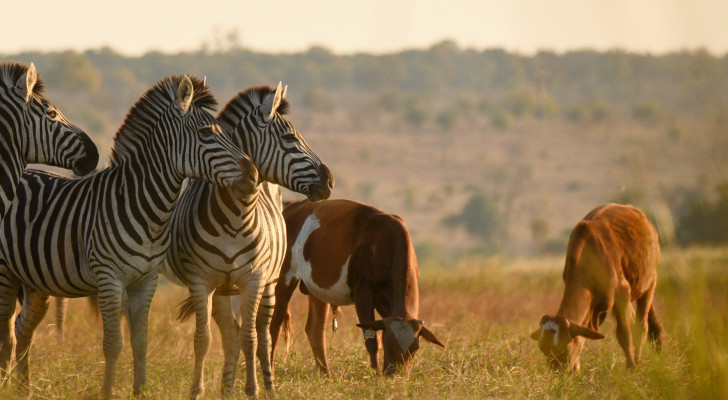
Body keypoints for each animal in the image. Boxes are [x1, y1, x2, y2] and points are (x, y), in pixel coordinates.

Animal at [161, 83, 334, 398]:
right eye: (290, 138)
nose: (330, 181)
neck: (235, 215)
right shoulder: (202, 281)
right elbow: (205, 339)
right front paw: (198, 390)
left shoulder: (253, 279)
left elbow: (251, 338)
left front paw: (252, 389)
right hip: (222, 289)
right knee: (230, 334)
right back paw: (227, 389)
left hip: (269, 283)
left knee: (263, 334)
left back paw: (269, 387)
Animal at [270, 199, 444, 376]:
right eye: (389, 344)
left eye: (414, 349)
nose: (396, 374)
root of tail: (292, 207)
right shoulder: (363, 294)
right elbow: (372, 340)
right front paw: (377, 375)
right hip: (283, 279)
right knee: (274, 327)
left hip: (316, 290)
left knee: (315, 329)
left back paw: (327, 376)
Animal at [528, 205, 664, 370]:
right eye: (543, 348)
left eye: (564, 348)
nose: (557, 371)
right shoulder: (596, 307)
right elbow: (584, 333)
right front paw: (576, 367)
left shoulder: (622, 293)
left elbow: (624, 334)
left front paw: (631, 367)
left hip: (650, 283)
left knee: (642, 326)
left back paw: (637, 361)